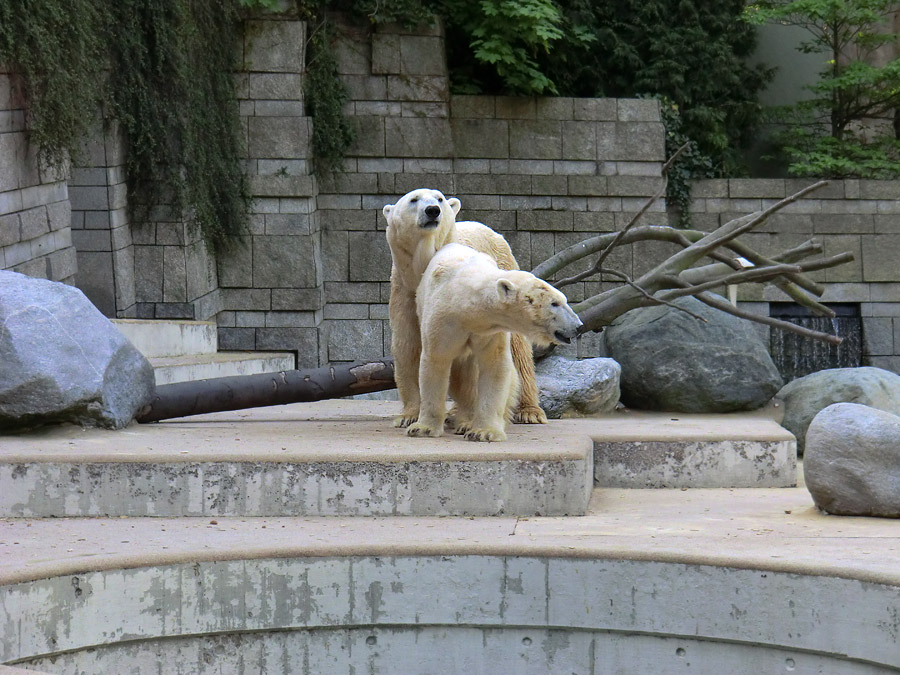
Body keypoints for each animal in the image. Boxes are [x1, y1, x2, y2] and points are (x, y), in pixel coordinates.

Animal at [382, 186, 544, 428]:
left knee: (518, 349)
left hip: (504, 270)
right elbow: (409, 346)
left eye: (439, 198)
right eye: (414, 199)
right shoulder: (406, 292)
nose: (433, 210)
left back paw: (529, 411)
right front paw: (408, 416)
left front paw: (470, 420)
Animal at [408, 243, 584, 444]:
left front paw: (483, 432)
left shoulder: (490, 331)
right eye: (555, 303)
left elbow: (494, 366)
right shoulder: (443, 321)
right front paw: (423, 428)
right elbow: (436, 360)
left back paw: (468, 423)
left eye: (564, 300)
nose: (579, 326)